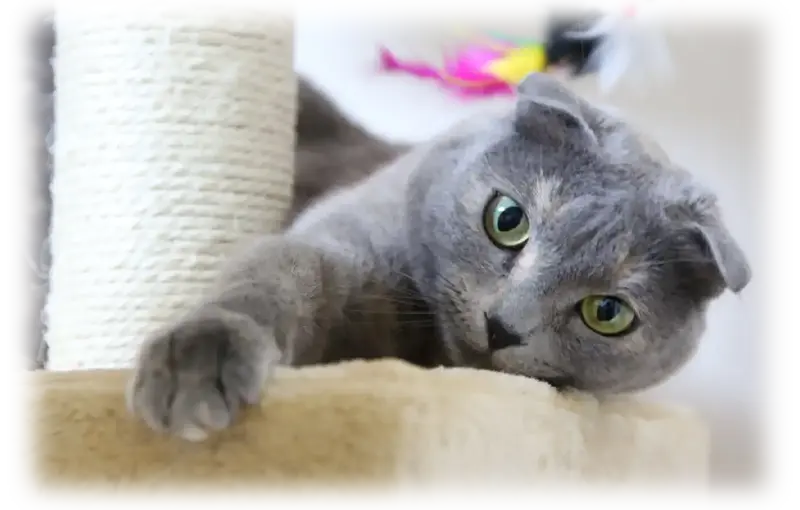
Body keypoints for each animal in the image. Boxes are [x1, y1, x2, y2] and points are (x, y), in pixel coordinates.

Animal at [126, 73, 752, 440]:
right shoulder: (338, 240)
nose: (502, 326)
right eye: (508, 219)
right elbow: (276, 274)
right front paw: (198, 359)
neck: (418, 349)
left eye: (607, 313)